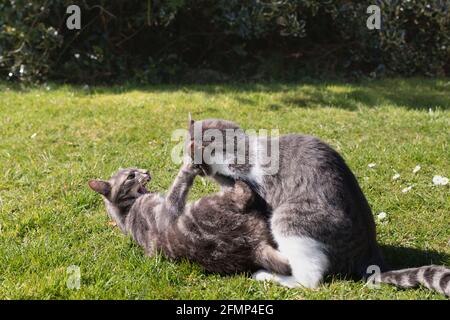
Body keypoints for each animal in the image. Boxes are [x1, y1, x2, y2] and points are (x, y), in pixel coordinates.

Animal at [88, 165, 292, 276]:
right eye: (131, 176)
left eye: (137, 168)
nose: (146, 171)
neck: (126, 211)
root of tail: (255, 248)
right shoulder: (164, 213)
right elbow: (179, 183)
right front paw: (188, 166)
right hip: (212, 202)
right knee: (244, 192)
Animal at [186, 118, 450, 298]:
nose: (192, 164)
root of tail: (370, 254)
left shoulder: (255, 187)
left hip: (288, 218)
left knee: (309, 280)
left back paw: (269, 275)